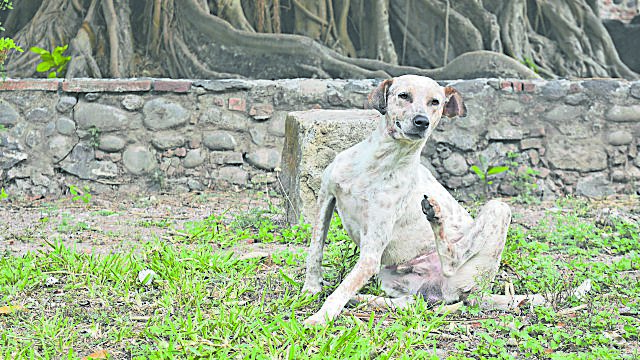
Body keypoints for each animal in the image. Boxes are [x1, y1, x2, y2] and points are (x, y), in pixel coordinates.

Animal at [302, 74, 528, 324]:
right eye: (404, 96)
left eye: (435, 102)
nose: (422, 122)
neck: (378, 163)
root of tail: (478, 293)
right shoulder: (326, 197)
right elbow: (315, 251)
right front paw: (311, 289)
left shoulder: (371, 255)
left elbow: (342, 289)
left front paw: (320, 318)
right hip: (393, 279)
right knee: (409, 303)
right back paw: (361, 299)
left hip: (498, 208)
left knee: (452, 260)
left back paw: (435, 216)